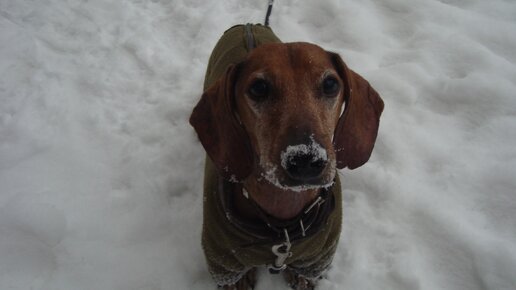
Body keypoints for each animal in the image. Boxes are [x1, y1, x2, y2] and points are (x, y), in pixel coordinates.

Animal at [189, 24, 382, 290]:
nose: (306, 160)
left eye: (331, 84)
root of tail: (248, 24)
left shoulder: (317, 258)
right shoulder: (223, 261)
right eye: (259, 88)